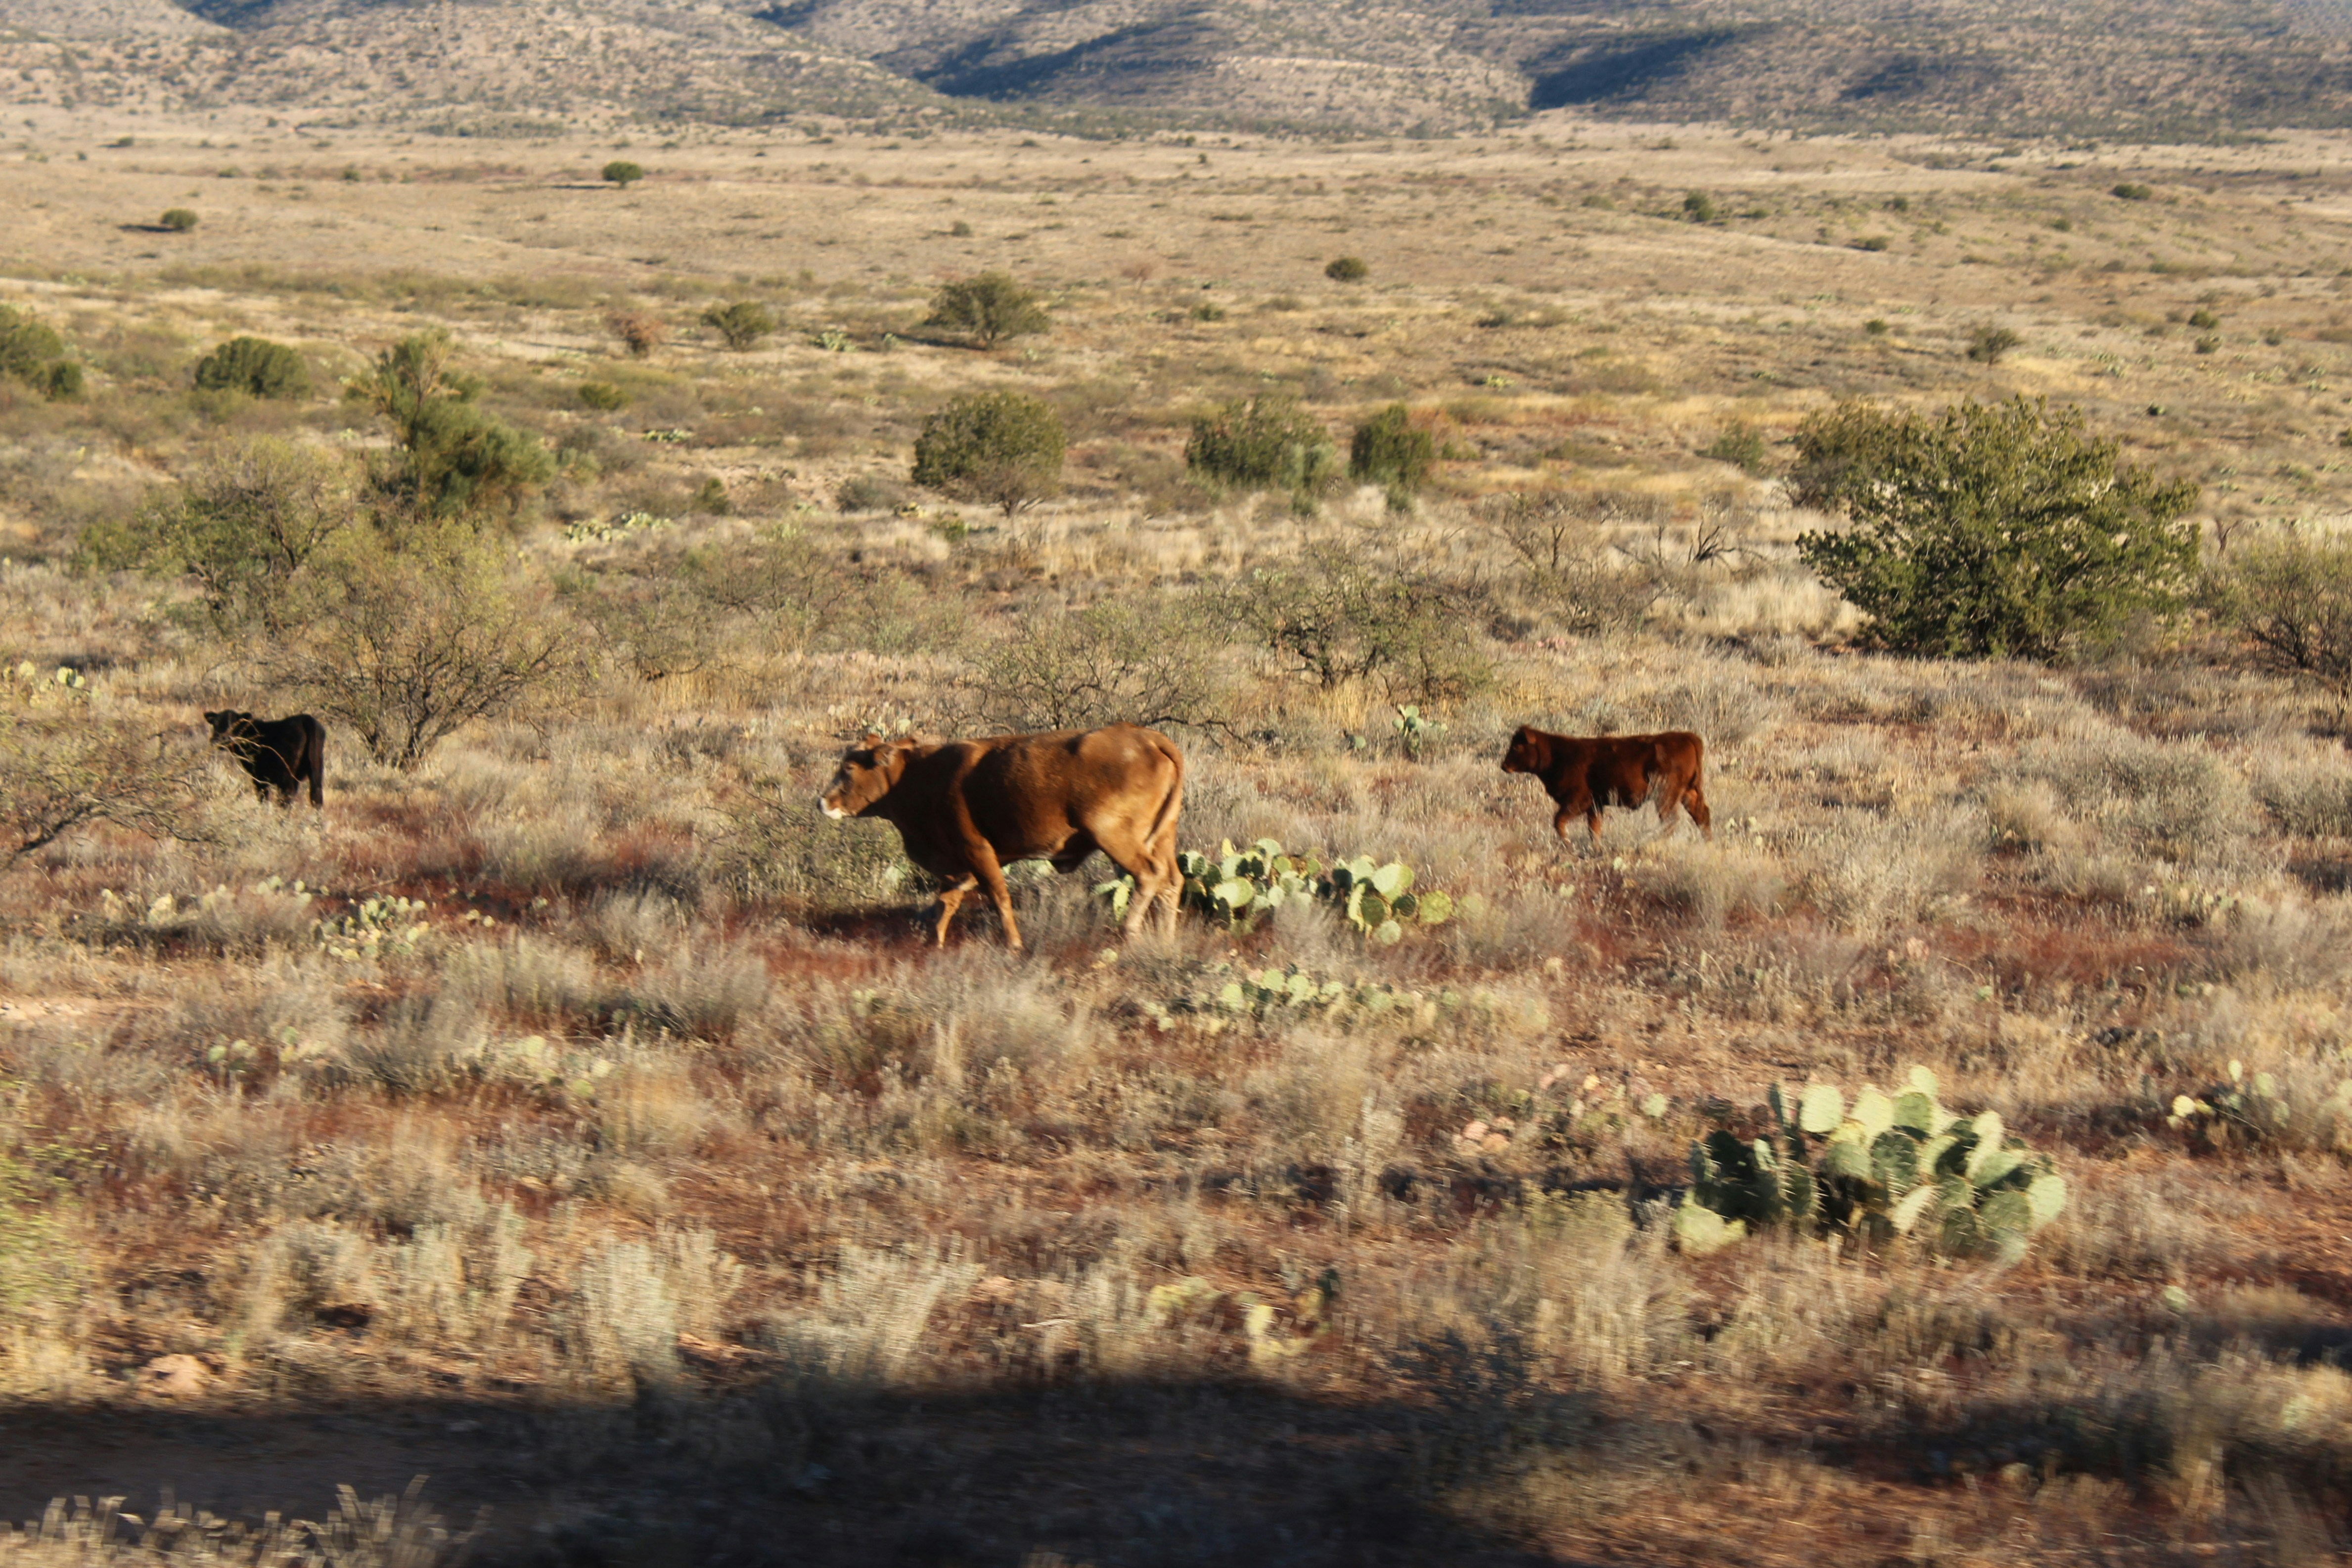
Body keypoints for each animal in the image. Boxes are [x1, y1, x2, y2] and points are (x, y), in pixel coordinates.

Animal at [204, 710, 326, 808]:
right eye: (215, 724)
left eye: (234, 724)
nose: (218, 740)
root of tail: (306, 718)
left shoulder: (259, 777)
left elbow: (263, 798)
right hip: (316, 769)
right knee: (316, 796)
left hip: (286, 774)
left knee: (287, 795)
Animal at [820, 723, 1185, 950]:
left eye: (848, 769)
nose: (823, 801)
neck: (918, 775)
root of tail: (1144, 736)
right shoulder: (960, 866)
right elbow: (946, 903)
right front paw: (936, 942)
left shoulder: (977, 850)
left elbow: (998, 897)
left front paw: (1013, 944)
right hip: (1163, 837)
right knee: (1172, 881)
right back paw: (1166, 938)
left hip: (1113, 836)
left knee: (1149, 874)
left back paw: (1129, 931)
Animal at [1500, 726, 1710, 846]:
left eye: (1516, 746)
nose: (1504, 765)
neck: (1555, 754)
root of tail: (1687, 737)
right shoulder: (1596, 805)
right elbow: (1594, 829)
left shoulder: (1579, 801)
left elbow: (1559, 821)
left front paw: (1567, 842)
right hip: (1690, 793)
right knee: (1702, 815)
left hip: (1665, 796)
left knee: (1671, 821)